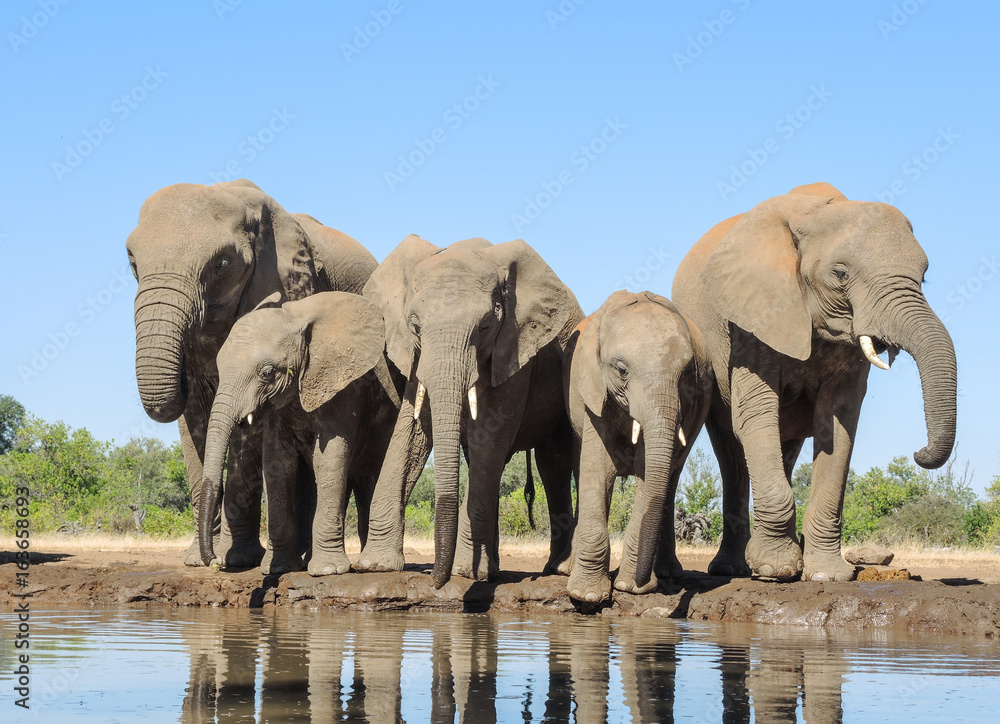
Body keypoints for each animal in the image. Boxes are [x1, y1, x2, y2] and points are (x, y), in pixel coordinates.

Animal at [126, 179, 377, 567]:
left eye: (222, 263)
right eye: (132, 261)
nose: (211, 560)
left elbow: (249, 428)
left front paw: (236, 560)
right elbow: (195, 418)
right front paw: (197, 560)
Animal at [198, 292, 402, 576]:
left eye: (267, 373)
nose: (215, 561)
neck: (297, 319)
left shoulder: (343, 389)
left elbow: (328, 461)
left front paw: (328, 571)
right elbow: (278, 464)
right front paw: (278, 569)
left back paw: (367, 564)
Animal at [352, 235, 584, 587]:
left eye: (485, 327)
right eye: (415, 327)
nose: (436, 580)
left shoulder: (515, 348)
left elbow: (490, 435)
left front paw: (467, 573)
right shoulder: (418, 357)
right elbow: (412, 432)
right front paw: (374, 565)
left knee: (554, 459)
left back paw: (557, 569)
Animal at [562, 290, 713, 603]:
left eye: (686, 374)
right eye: (621, 370)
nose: (640, 582)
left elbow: (649, 471)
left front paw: (631, 588)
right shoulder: (593, 390)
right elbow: (597, 469)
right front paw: (586, 596)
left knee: (671, 478)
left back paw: (668, 573)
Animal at [672, 182, 957, 581]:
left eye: (924, 276)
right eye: (840, 274)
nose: (919, 453)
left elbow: (837, 426)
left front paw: (826, 575)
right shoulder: (751, 319)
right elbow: (756, 415)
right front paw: (774, 570)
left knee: (784, 447)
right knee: (731, 450)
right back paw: (734, 568)